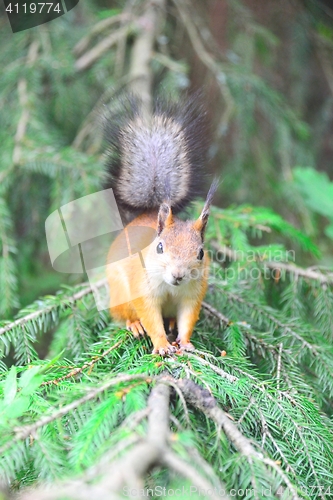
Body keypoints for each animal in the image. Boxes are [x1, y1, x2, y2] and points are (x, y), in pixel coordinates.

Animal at [105, 94, 217, 356]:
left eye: (201, 253)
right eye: (159, 247)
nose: (178, 275)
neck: (171, 287)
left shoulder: (192, 295)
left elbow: (188, 319)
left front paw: (184, 342)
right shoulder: (143, 289)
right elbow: (151, 318)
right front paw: (162, 345)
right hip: (119, 293)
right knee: (123, 315)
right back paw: (134, 324)